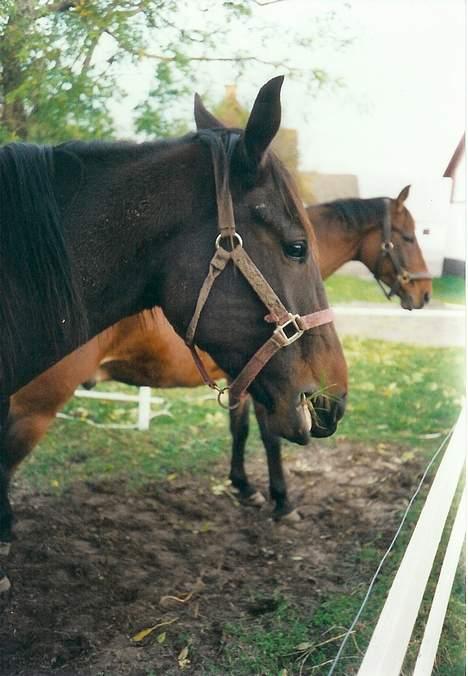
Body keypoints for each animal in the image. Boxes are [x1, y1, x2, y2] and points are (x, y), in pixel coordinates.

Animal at [2, 187, 432, 540]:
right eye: (408, 237)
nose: (425, 292)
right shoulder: (270, 387)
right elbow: (269, 437)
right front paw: (282, 502)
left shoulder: (241, 379)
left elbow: (238, 430)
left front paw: (243, 486)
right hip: (32, 409)